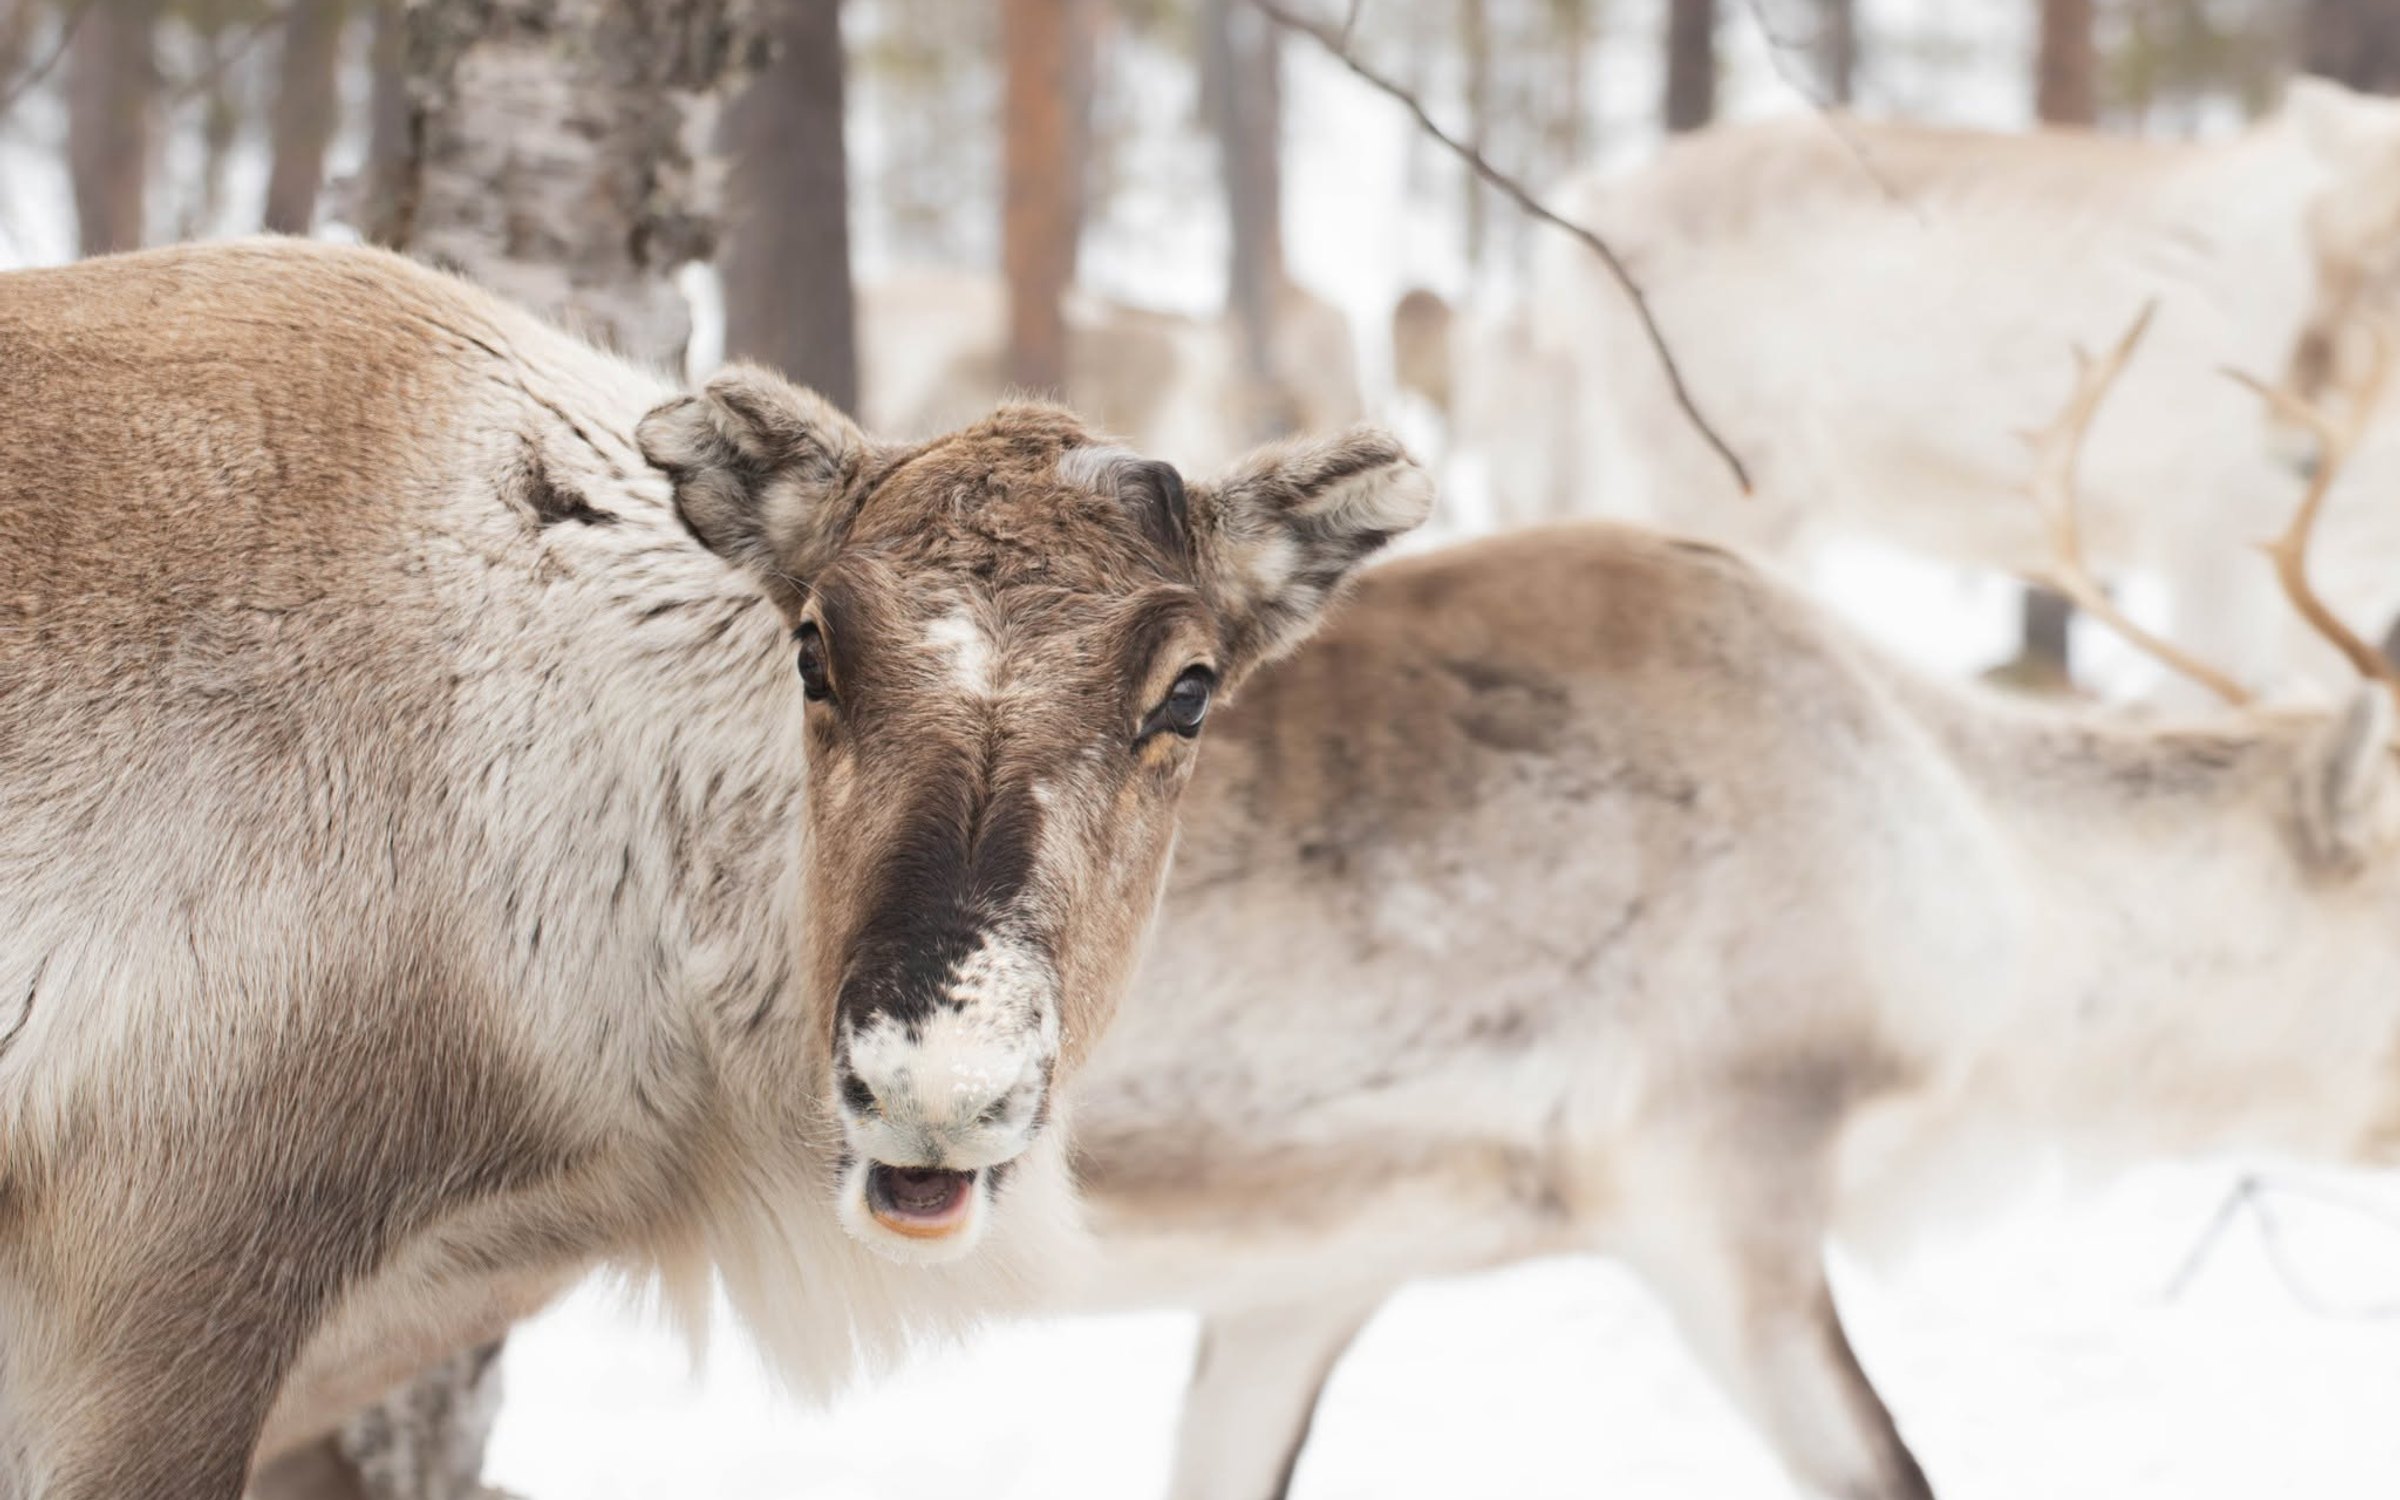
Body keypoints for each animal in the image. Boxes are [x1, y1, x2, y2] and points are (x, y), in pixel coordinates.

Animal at [1466, 74, 2400, 698]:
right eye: (2316, 245)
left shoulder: (2350, 573)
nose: (2290, 446)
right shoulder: (2210, 541)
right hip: (1717, 491)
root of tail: (1579, 211)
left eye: (2380, 263)